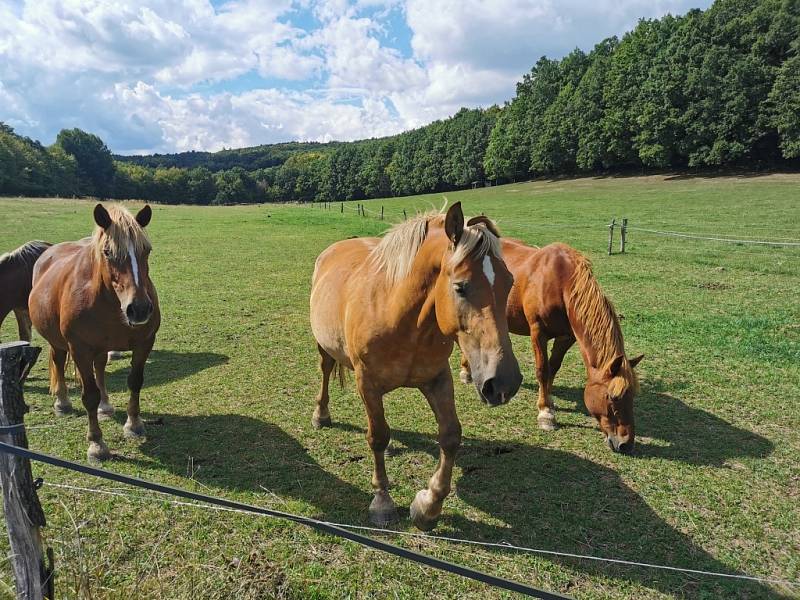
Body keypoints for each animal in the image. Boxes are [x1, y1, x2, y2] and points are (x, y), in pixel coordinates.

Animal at [30, 204, 161, 462]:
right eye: (108, 252)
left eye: (146, 250)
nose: (139, 308)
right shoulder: (80, 349)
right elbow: (89, 395)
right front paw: (97, 444)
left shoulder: (144, 343)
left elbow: (135, 382)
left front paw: (134, 424)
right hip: (58, 342)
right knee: (58, 362)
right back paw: (62, 402)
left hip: (101, 348)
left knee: (99, 368)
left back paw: (105, 405)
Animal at [310, 203, 520, 528]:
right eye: (460, 287)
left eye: (509, 282)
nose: (504, 383)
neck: (398, 314)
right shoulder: (367, 382)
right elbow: (378, 436)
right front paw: (382, 501)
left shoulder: (438, 378)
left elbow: (450, 435)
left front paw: (428, 506)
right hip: (325, 348)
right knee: (325, 371)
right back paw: (321, 415)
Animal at [462, 241, 644, 452]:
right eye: (612, 397)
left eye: (632, 396)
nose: (626, 443)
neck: (560, 282)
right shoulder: (538, 332)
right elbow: (543, 370)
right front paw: (545, 413)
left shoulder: (566, 338)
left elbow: (553, 368)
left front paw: (549, 401)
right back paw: (466, 372)